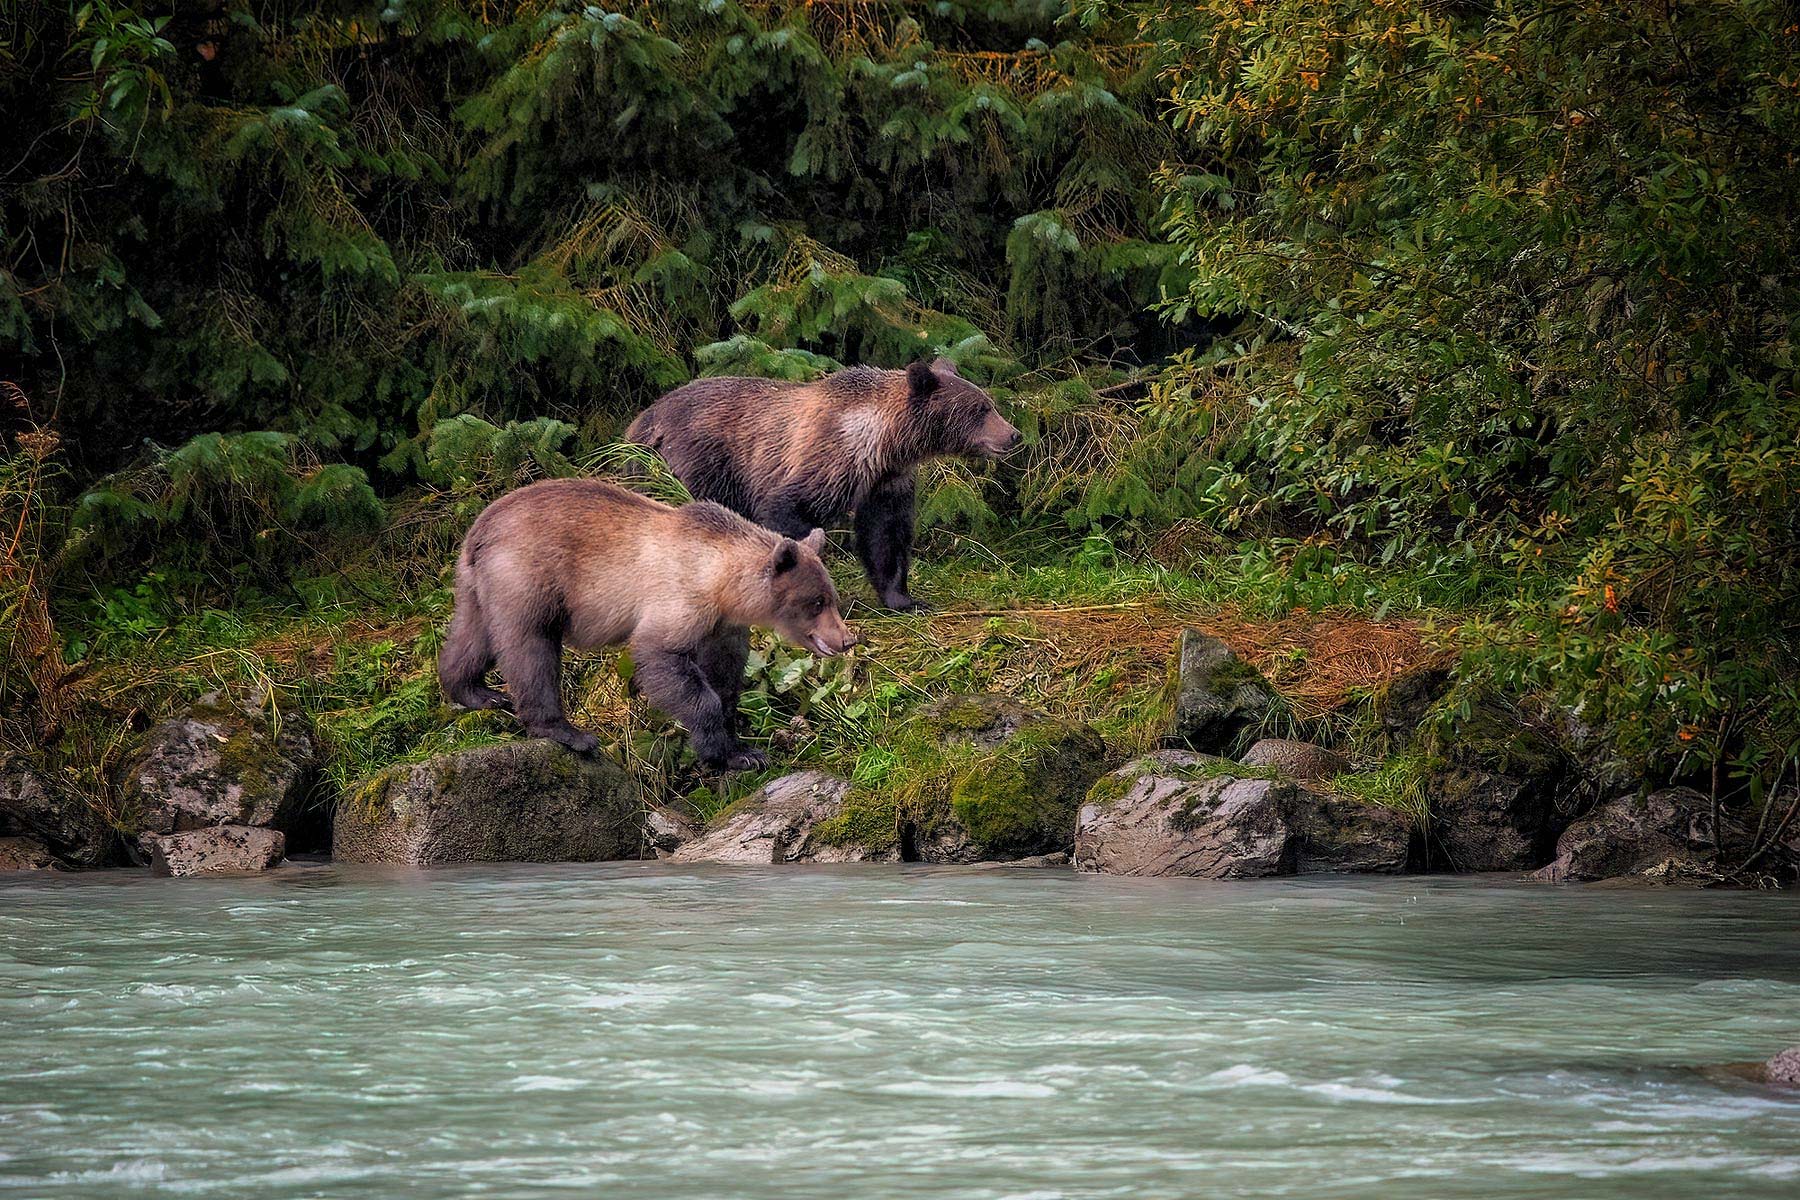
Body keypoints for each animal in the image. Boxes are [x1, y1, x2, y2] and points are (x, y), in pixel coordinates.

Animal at [439, 478, 853, 770]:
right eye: (816, 602)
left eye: (832, 597)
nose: (846, 639)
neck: (720, 580)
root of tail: (481, 527)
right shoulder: (679, 597)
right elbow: (662, 658)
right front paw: (717, 751)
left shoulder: (720, 624)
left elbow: (725, 674)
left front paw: (745, 751)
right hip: (529, 575)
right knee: (531, 649)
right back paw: (568, 732)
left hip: (478, 585)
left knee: (473, 636)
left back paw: (477, 692)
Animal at [622, 356, 1022, 611]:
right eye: (981, 409)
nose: (1014, 435)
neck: (884, 443)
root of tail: (643, 418)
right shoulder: (826, 460)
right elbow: (789, 508)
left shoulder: (888, 481)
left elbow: (886, 537)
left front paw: (906, 600)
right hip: (699, 459)